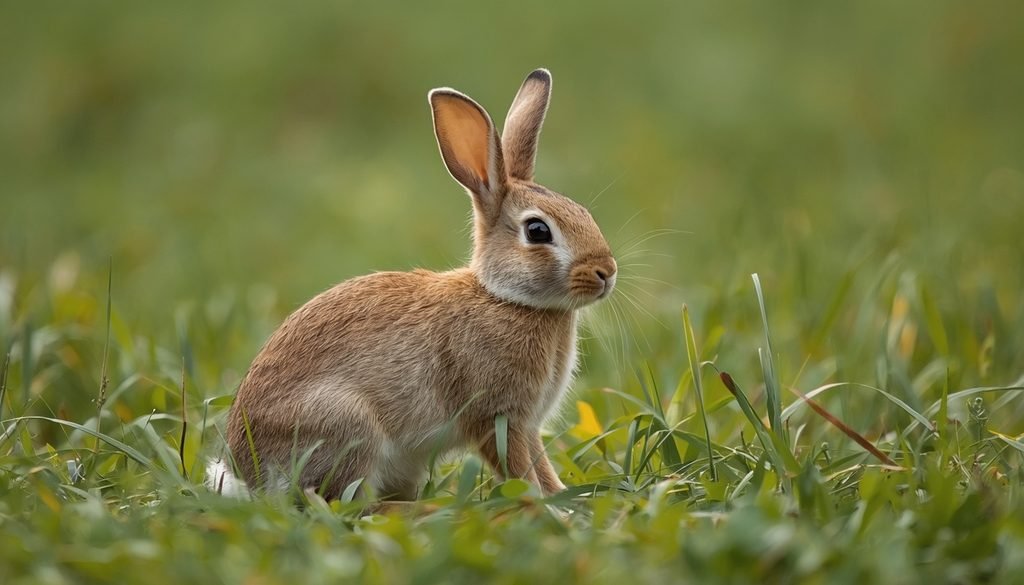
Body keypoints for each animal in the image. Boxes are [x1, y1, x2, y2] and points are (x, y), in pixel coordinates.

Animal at [215, 68, 616, 501]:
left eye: (583, 212)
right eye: (538, 231)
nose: (606, 271)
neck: (504, 297)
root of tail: (248, 475)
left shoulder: (526, 425)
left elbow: (540, 464)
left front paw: (563, 497)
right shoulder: (495, 416)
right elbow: (518, 467)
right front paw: (545, 505)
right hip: (348, 425)